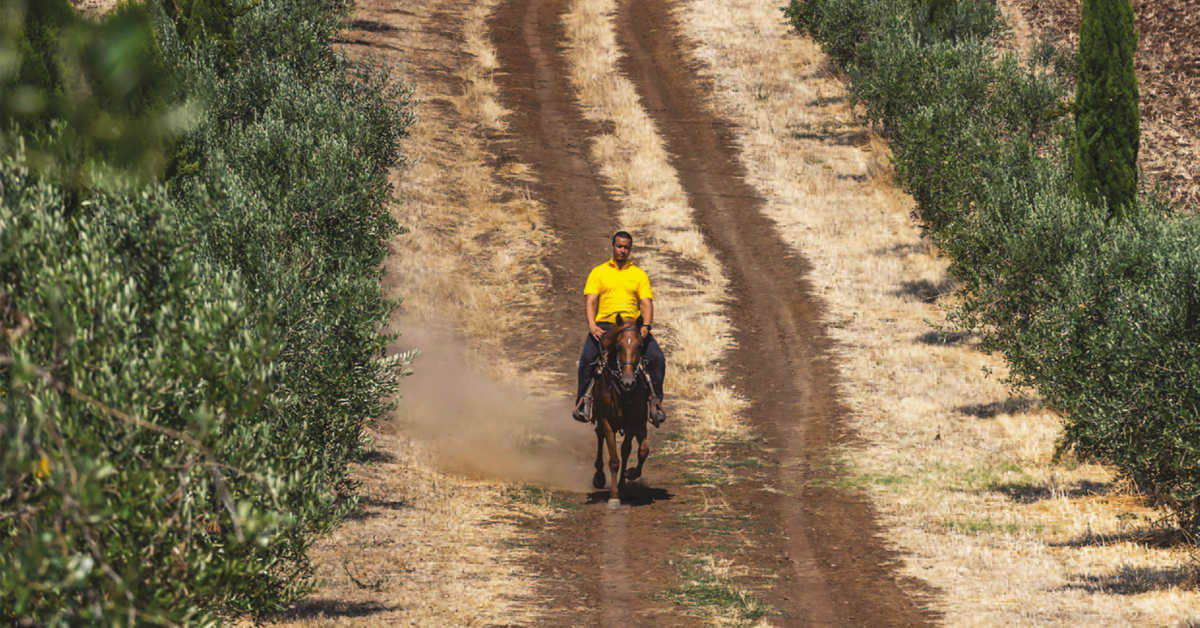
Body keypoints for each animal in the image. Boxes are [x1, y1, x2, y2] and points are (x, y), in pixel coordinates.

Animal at [588, 312, 652, 509]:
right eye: (618, 345)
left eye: (640, 345)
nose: (628, 382)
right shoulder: (607, 422)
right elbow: (614, 460)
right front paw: (614, 497)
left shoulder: (634, 423)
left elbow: (635, 451)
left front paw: (628, 477)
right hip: (600, 418)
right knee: (600, 436)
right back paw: (599, 477)